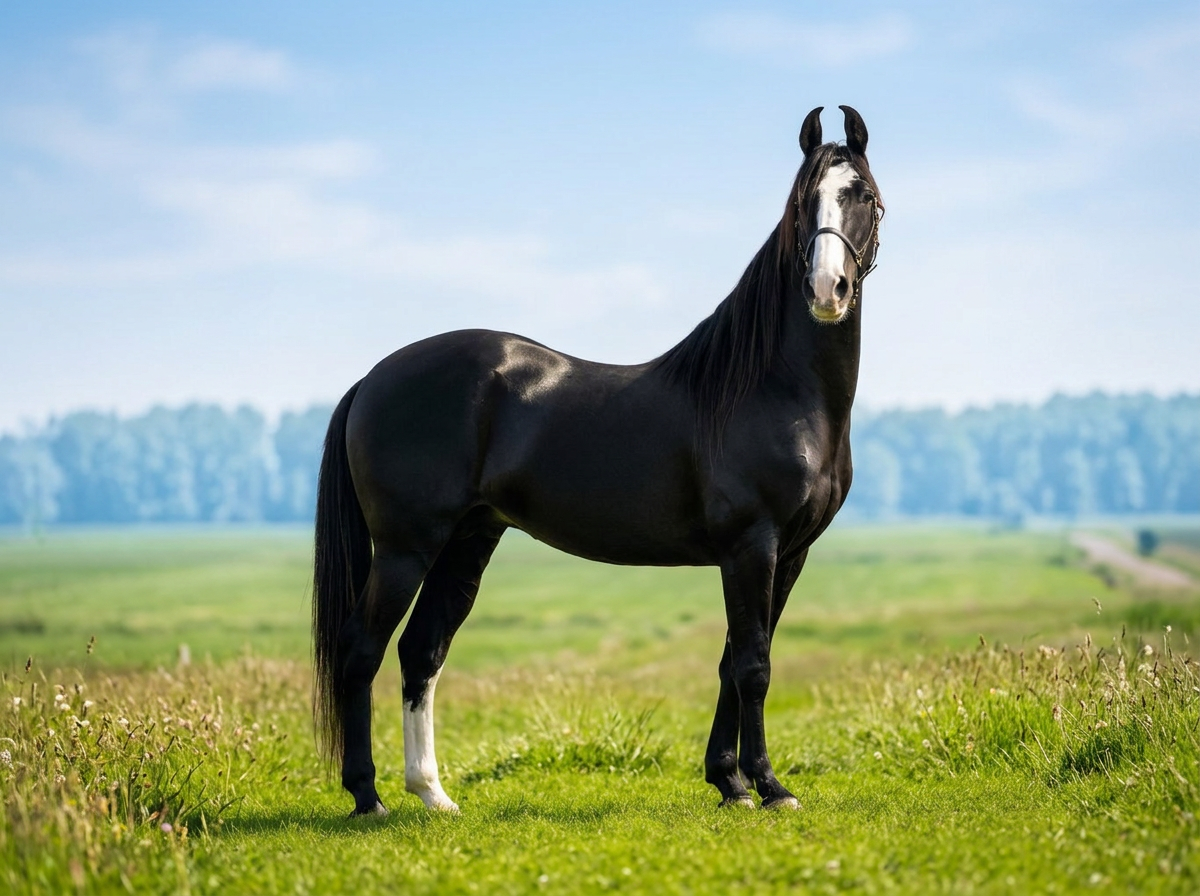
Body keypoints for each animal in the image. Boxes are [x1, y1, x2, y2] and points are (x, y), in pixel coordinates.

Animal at [313, 105, 883, 816]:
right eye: (805, 202)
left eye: (862, 194)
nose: (827, 289)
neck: (772, 388)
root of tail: (372, 379)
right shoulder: (753, 544)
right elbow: (754, 665)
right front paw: (769, 787)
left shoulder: (789, 551)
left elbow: (734, 661)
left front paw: (729, 782)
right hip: (402, 548)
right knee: (361, 650)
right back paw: (368, 796)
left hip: (467, 540)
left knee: (422, 651)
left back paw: (433, 794)